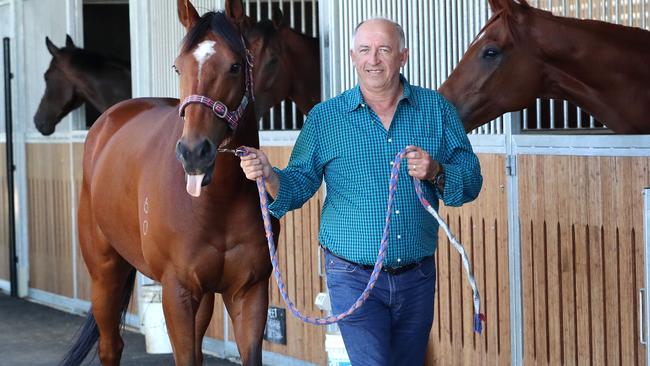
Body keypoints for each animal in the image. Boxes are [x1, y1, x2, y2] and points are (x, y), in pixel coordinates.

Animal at [58, 0, 322, 364]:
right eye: (177, 68)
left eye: (236, 66)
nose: (194, 152)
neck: (217, 202)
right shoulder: (177, 292)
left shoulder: (249, 293)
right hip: (105, 272)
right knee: (110, 346)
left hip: (203, 296)